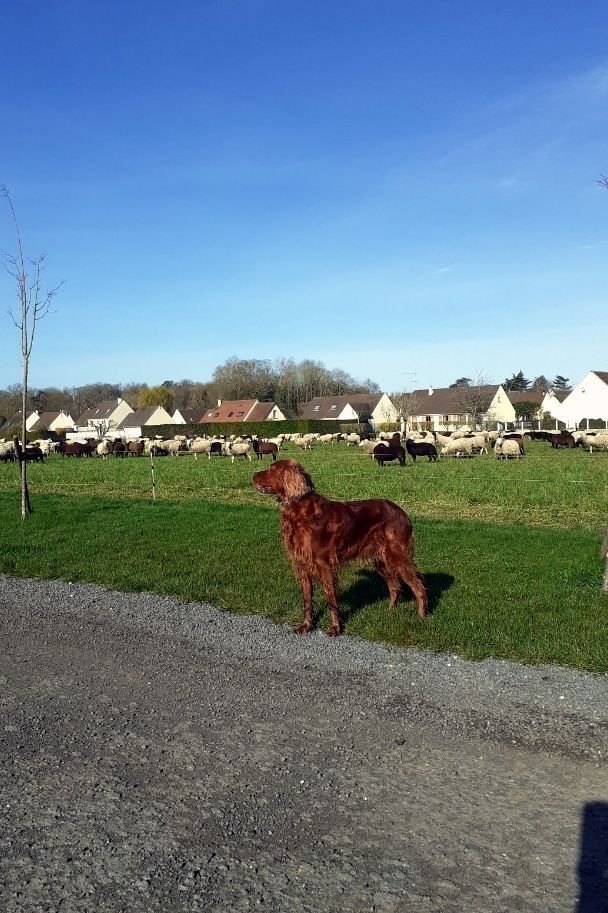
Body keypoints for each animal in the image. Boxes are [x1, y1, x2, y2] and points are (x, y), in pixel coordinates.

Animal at [253, 460, 428, 636]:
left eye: (271, 469)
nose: (253, 475)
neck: (300, 512)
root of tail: (402, 512)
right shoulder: (302, 565)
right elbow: (307, 600)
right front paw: (306, 626)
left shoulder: (324, 565)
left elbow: (331, 599)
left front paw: (335, 628)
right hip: (381, 560)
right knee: (394, 587)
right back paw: (390, 612)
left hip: (398, 556)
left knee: (418, 586)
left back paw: (421, 618)